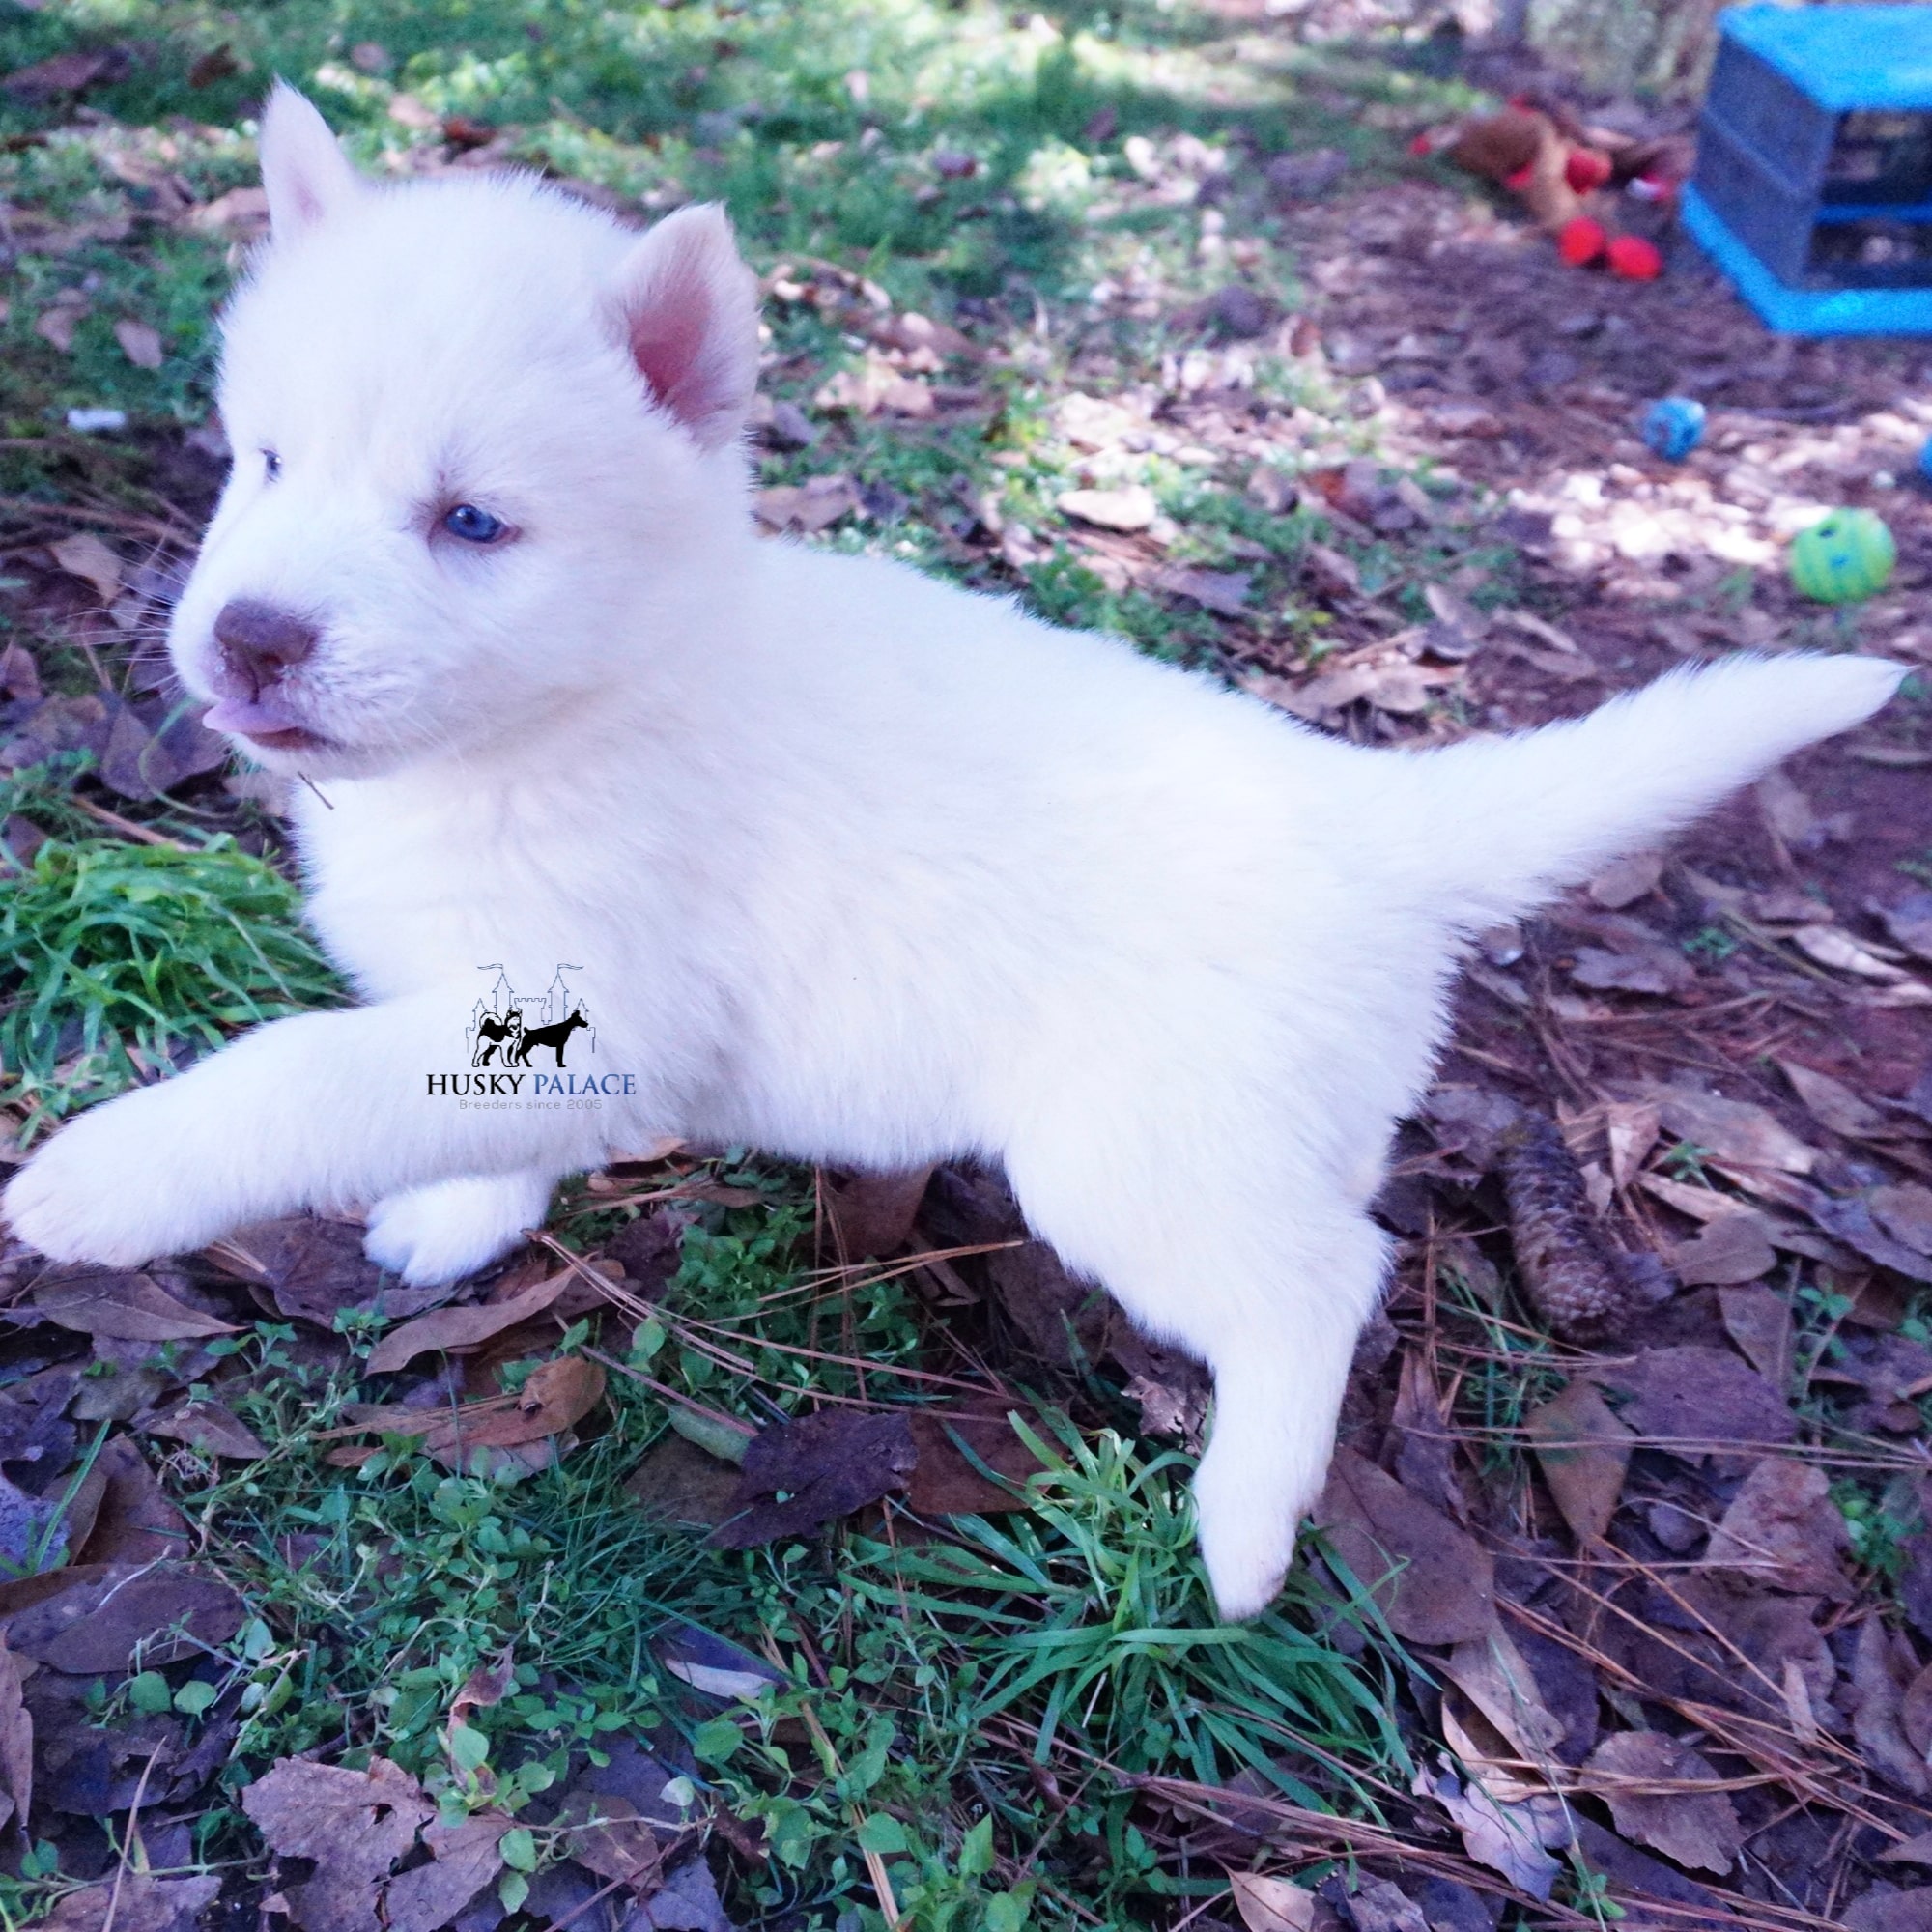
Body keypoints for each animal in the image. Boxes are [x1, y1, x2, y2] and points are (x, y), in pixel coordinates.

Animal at [0, 91, 1901, 1623]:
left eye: (471, 522)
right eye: (264, 459)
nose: (246, 642)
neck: (577, 706)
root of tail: (1371, 813)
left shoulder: (609, 999)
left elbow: (293, 1075)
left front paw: (98, 1181)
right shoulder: (537, 1034)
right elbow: (451, 1117)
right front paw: (459, 1219)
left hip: (1134, 1160)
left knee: (1325, 1284)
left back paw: (1244, 1532)